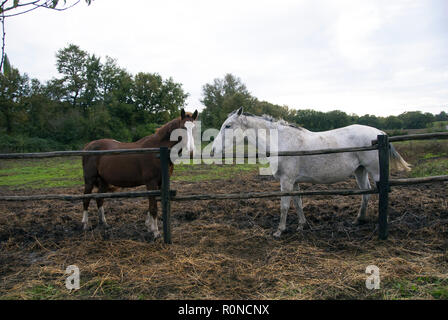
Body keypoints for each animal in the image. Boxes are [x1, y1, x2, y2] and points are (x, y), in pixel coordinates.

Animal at [82, 109, 198, 238]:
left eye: (194, 128)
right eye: (182, 128)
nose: (191, 151)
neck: (158, 151)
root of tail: (88, 146)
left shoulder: (160, 183)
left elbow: (153, 203)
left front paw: (149, 226)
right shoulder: (151, 183)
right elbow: (153, 207)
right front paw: (155, 232)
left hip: (103, 182)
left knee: (99, 199)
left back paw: (104, 223)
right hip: (90, 180)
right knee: (86, 199)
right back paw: (85, 225)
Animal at [212, 107, 412, 238]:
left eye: (228, 126)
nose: (213, 150)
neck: (282, 142)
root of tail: (380, 134)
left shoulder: (286, 181)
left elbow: (284, 205)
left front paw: (279, 230)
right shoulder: (294, 181)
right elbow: (298, 202)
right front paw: (302, 225)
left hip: (376, 171)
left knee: (383, 192)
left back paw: (382, 223)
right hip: (360, 171)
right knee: (366, 193)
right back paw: (358, 220)